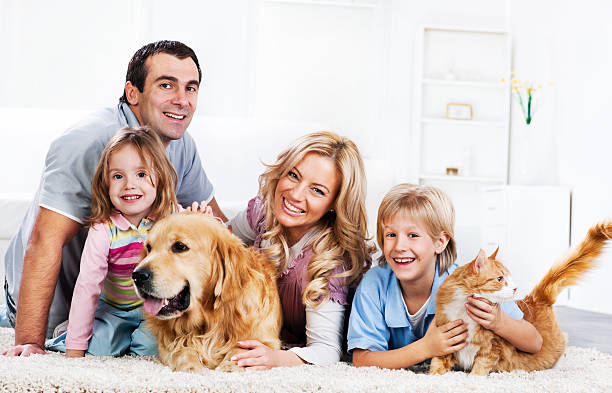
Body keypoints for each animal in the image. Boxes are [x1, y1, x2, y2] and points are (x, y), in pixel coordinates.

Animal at [133, 211, 280, 370]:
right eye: (149, 248)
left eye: (180, 246)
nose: (137, 276)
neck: (211, 318)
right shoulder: (166, 344)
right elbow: (182, 350)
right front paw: (191, 367)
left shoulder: (267, 339)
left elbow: (242, 348)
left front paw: (229, 366)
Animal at [430, 220, 612, 374]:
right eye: (499, 279)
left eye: (509, 278)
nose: (515, 288)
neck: (463, 310)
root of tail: (535, 298)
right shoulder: (447, 344)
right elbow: (435, 365)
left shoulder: (491, 348)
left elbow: (479, 369)